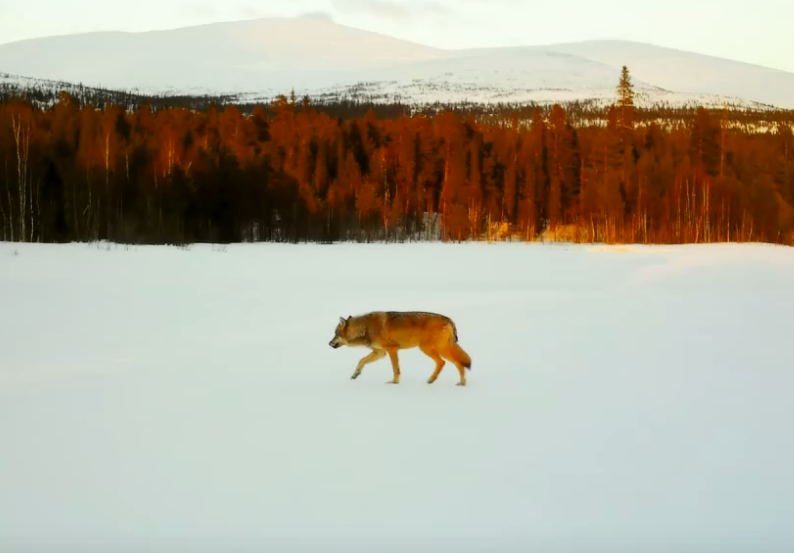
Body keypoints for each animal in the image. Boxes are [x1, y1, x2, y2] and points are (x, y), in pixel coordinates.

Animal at [328, 311, 472, 386]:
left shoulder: (391, 350)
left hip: (428, 349)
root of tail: (449, 319)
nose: (329, 343)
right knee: (457, 364)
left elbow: (395, 368)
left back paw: (432, 380)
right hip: (440, 349)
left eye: (335, 334)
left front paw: (394, 383)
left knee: (444, 362)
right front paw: (355, 374)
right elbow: (361, 361)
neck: (365, 328)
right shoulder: (380, 352)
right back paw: (460, 383)